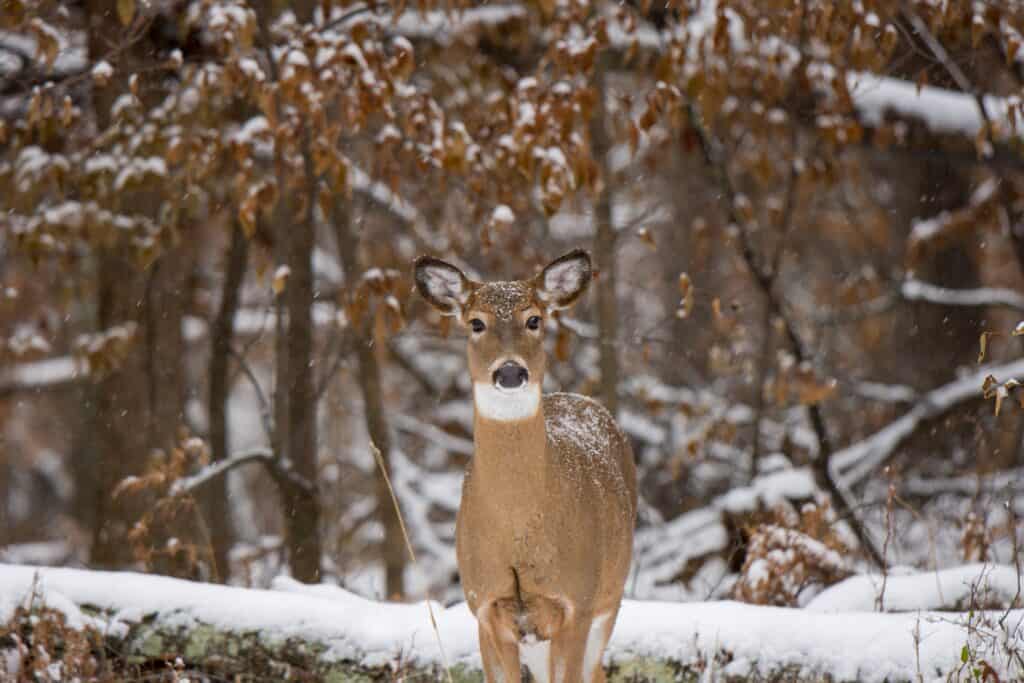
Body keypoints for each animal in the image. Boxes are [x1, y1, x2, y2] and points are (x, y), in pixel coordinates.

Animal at [411, 250, 634, 683]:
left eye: (534, 319)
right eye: (475, 322)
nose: (511, 371)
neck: (518, 529)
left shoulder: (577, 602)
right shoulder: (485, 608)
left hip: (610, 597)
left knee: (596, 670)